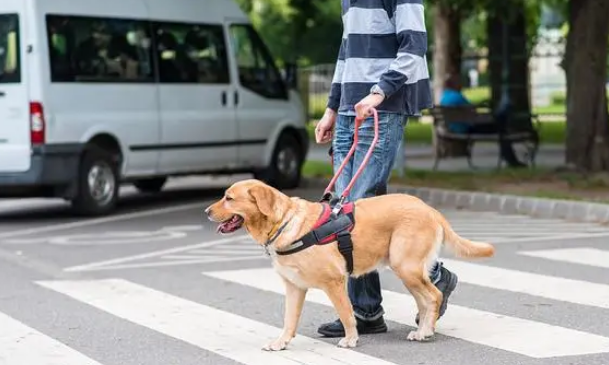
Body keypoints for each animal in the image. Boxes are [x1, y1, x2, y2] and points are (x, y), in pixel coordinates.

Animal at [204, 178, 494, 350]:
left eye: (229, 198)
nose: (206, 211)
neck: (285, 223)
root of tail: (429, 209)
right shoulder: (294, 287)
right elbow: (289, 320)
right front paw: (281, 343)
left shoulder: (335, 282)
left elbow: (346, 314)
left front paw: (352, 338)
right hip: (406, 270)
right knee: (425, 301)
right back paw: (423, 329)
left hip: (406, 267)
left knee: (433, 296)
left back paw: (425, 331)